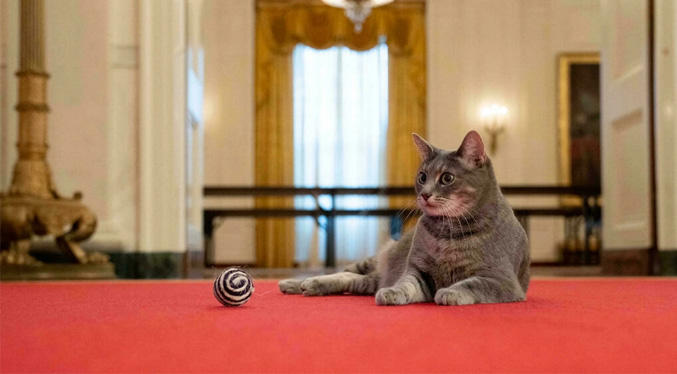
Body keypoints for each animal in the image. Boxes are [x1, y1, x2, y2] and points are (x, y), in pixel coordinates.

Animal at [276, 130, 528, 306]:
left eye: (447, 178)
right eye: (422, 177)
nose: (425, 194)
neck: (448, 231)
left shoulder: (500, 279)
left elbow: (472, 284)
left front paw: (451, 291)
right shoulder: (418, 270)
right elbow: (406, 284)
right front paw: (393, 292)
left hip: (369, 278)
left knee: (353, 279)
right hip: (373, 259)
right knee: (345, 272)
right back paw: (296, 282)